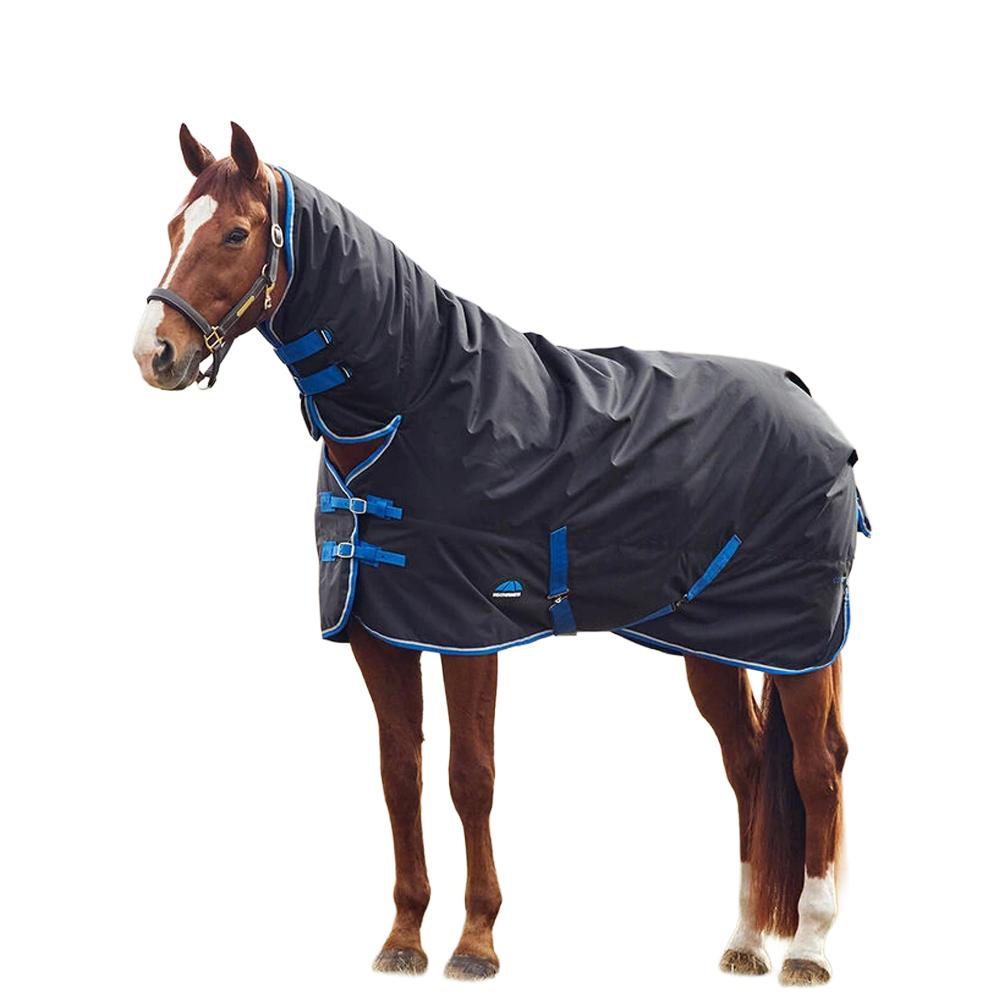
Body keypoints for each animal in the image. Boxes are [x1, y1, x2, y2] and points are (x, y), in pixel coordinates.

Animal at [133, 122, 859, 986]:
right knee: (749, 766)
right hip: (714, 644)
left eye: (237, 234)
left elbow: (469, 776)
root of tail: (808, 401)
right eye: (173, 229)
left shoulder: (470, 631)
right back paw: (745, 941)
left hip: (800, 645)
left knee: (817, 771)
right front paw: (404, 936)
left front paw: (476, 942)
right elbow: (401, 776)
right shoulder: (381, 632)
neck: (413, 404)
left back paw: (809, 948)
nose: (154, 353)